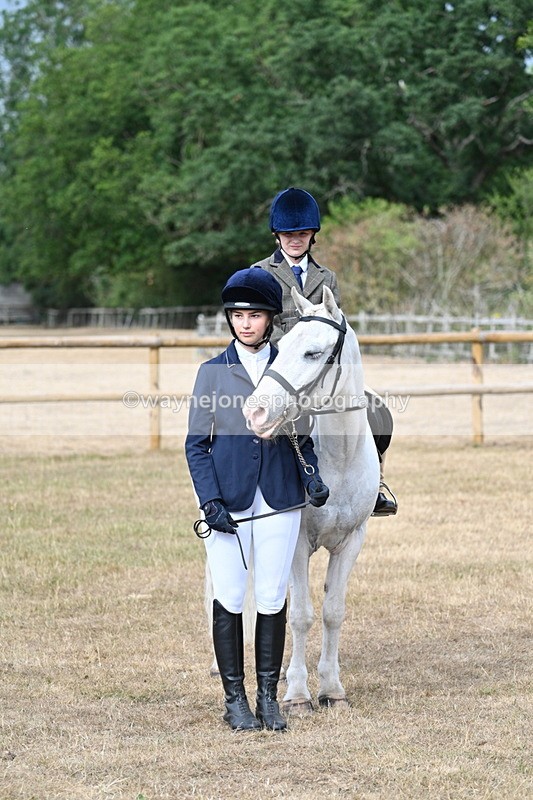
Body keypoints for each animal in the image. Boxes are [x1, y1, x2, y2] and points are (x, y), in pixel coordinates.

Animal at [242, 286, 380, 711]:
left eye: (313, 353)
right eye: (281, 345)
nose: (255, 413)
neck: (339, 456)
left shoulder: (352, 541)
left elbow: (333, 612)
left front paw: (332, 689)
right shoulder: (298, 543)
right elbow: (300, 614)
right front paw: (298, 693)